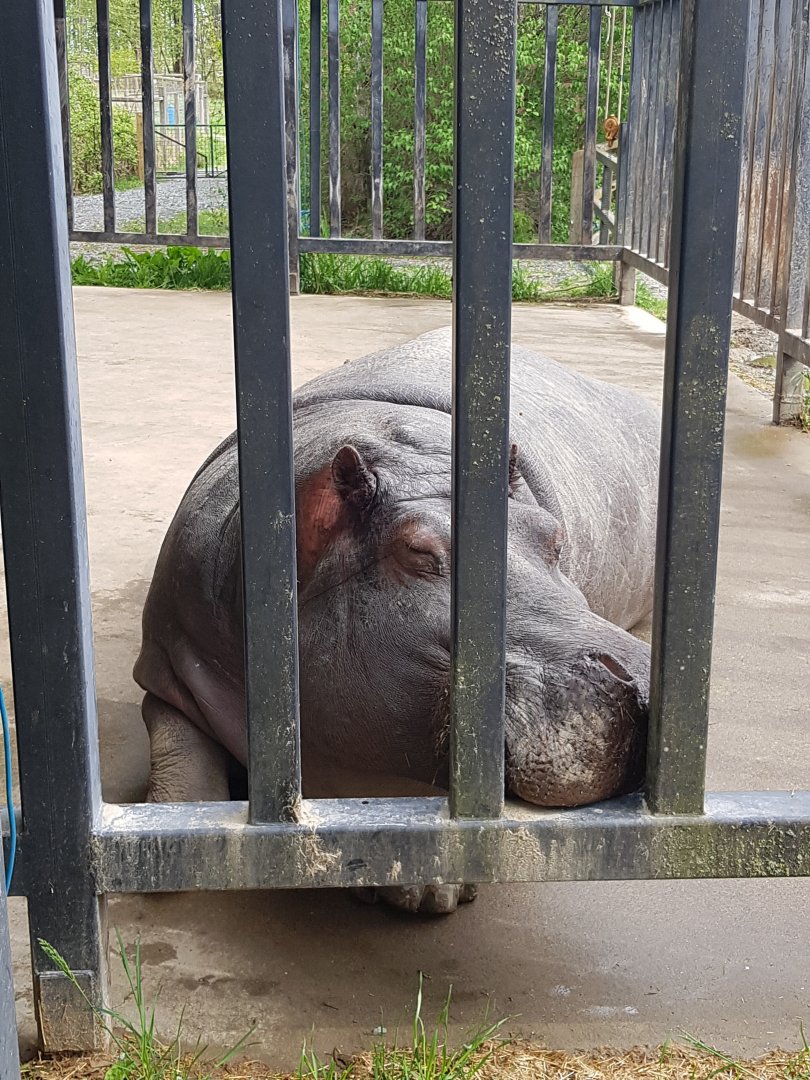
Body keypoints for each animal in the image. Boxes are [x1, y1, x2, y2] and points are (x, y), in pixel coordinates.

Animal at [134, 327, 660, 914]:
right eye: (417, 550)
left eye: (554, 537)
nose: (641, 686)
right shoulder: (168, 663)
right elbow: (178, 751)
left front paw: (429, 890)